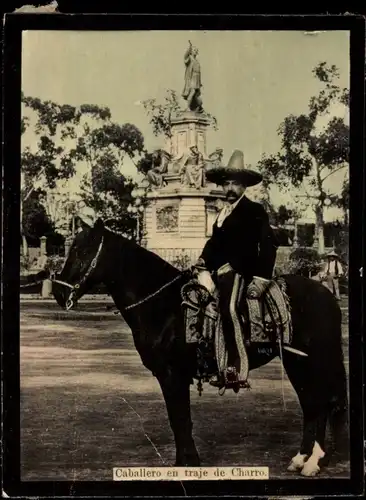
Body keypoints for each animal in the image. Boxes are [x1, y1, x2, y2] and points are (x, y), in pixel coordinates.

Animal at [52, 219, 348, 476]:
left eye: (81, 251)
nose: (58, 292)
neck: (165, 305)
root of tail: (326, 295)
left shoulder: (172, 375)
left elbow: (180, 418)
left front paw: (187, 462)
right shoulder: (172, 376)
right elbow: (179, 419)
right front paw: (185, 461)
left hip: (313, 360)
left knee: (324, 403)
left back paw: (315, 461)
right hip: (296, 362)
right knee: (311, 405)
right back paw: (301, 459)